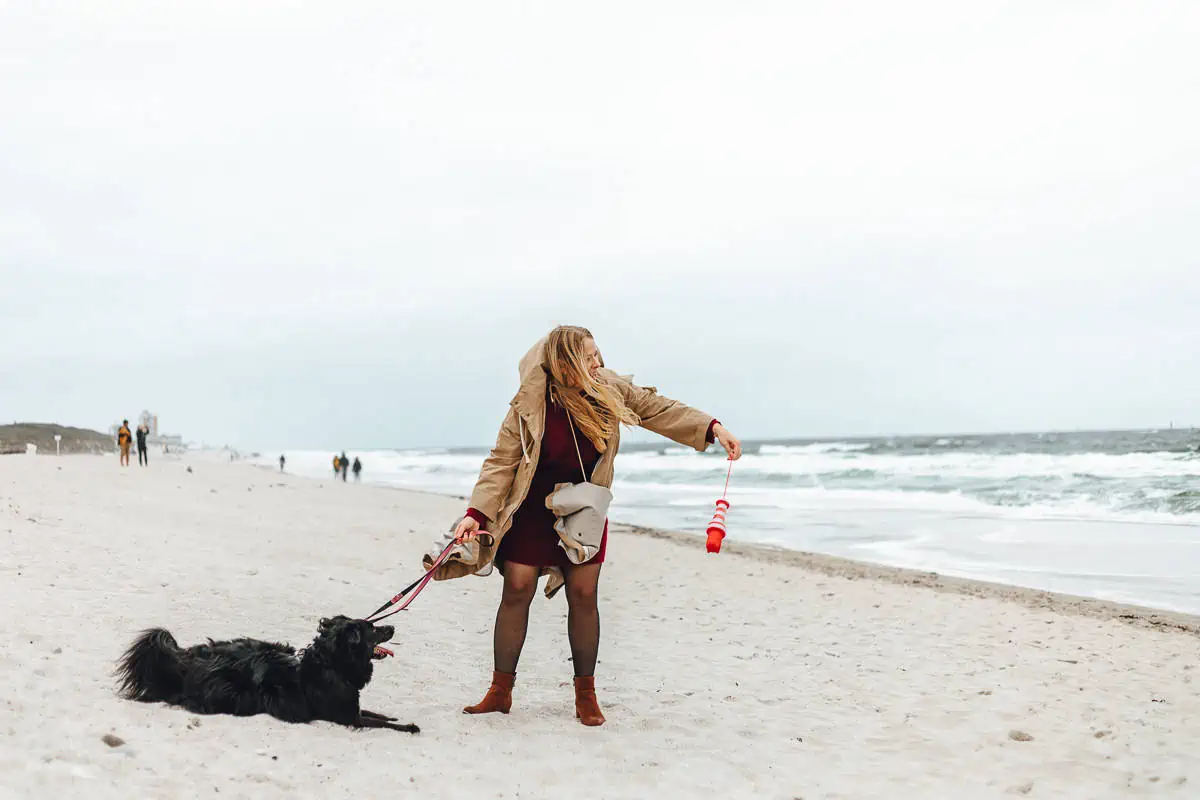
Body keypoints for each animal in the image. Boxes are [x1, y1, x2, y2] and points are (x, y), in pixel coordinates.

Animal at [117, 618, 417, 734]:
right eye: (373, 628)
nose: (392, 626)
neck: (332, 664)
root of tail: (187, 657)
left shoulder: (352, 707)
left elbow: (376, 714)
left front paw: (392, 716)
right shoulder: (348, 718)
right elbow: (379, 723)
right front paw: (408, 727)